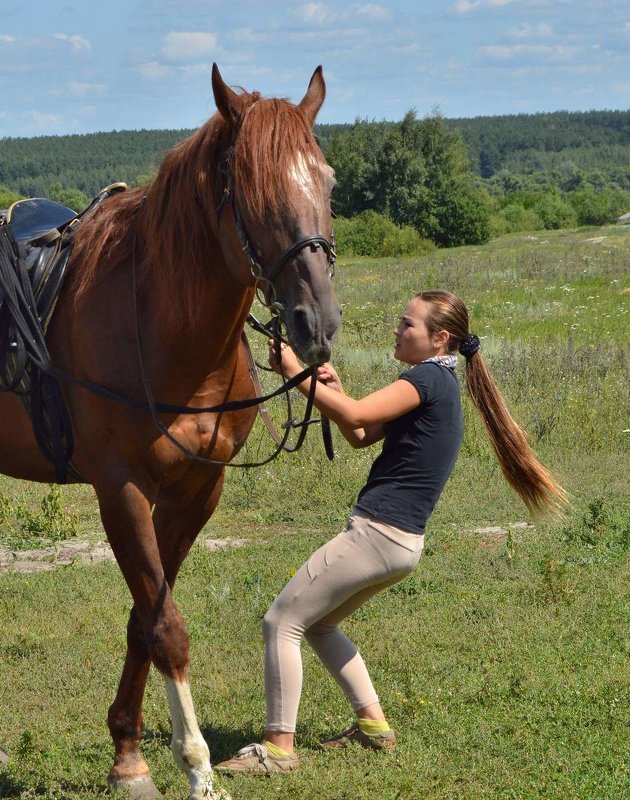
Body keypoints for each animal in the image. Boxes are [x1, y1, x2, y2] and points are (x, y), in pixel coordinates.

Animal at [0, 65, 344, 796]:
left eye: (327, 182)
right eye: (248, 191)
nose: (318, 323)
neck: (164, 328)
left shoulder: (196, 489)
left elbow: (144, 620)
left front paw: (127, 756)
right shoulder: (122, 489)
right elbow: (166, 629)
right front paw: (196, 768)